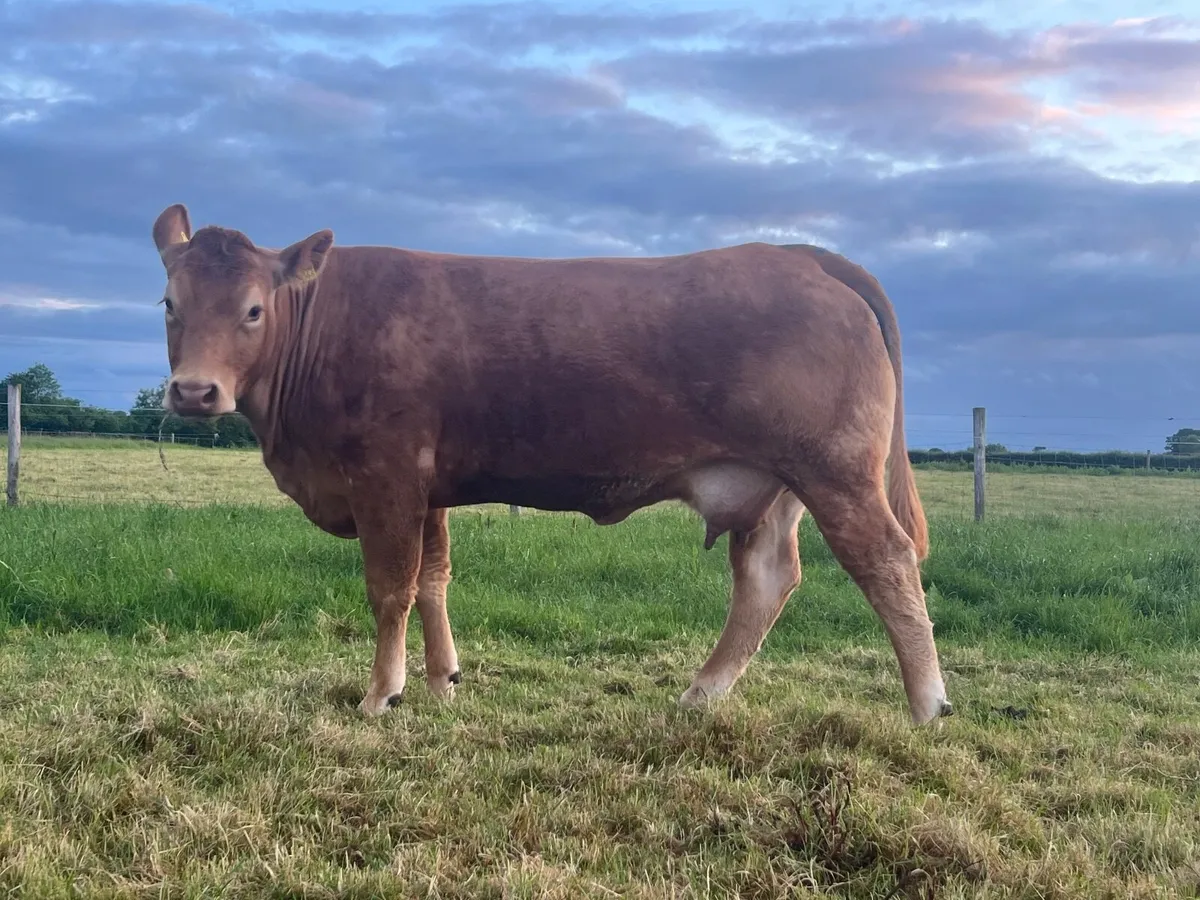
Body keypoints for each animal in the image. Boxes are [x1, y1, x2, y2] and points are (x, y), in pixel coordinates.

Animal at [150, 202, 953, 725]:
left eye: (254, 309)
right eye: (168, 302)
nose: (194, 390)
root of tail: (799, 254)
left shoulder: (386, 476)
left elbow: (391, 588)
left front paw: (383, 695)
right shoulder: (429, 487)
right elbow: (435, 579)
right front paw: (443, 682)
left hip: (835, 471)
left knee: (884, 560)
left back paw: (926, 704)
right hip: (772, 484)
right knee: (766, 579)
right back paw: (701, 693)